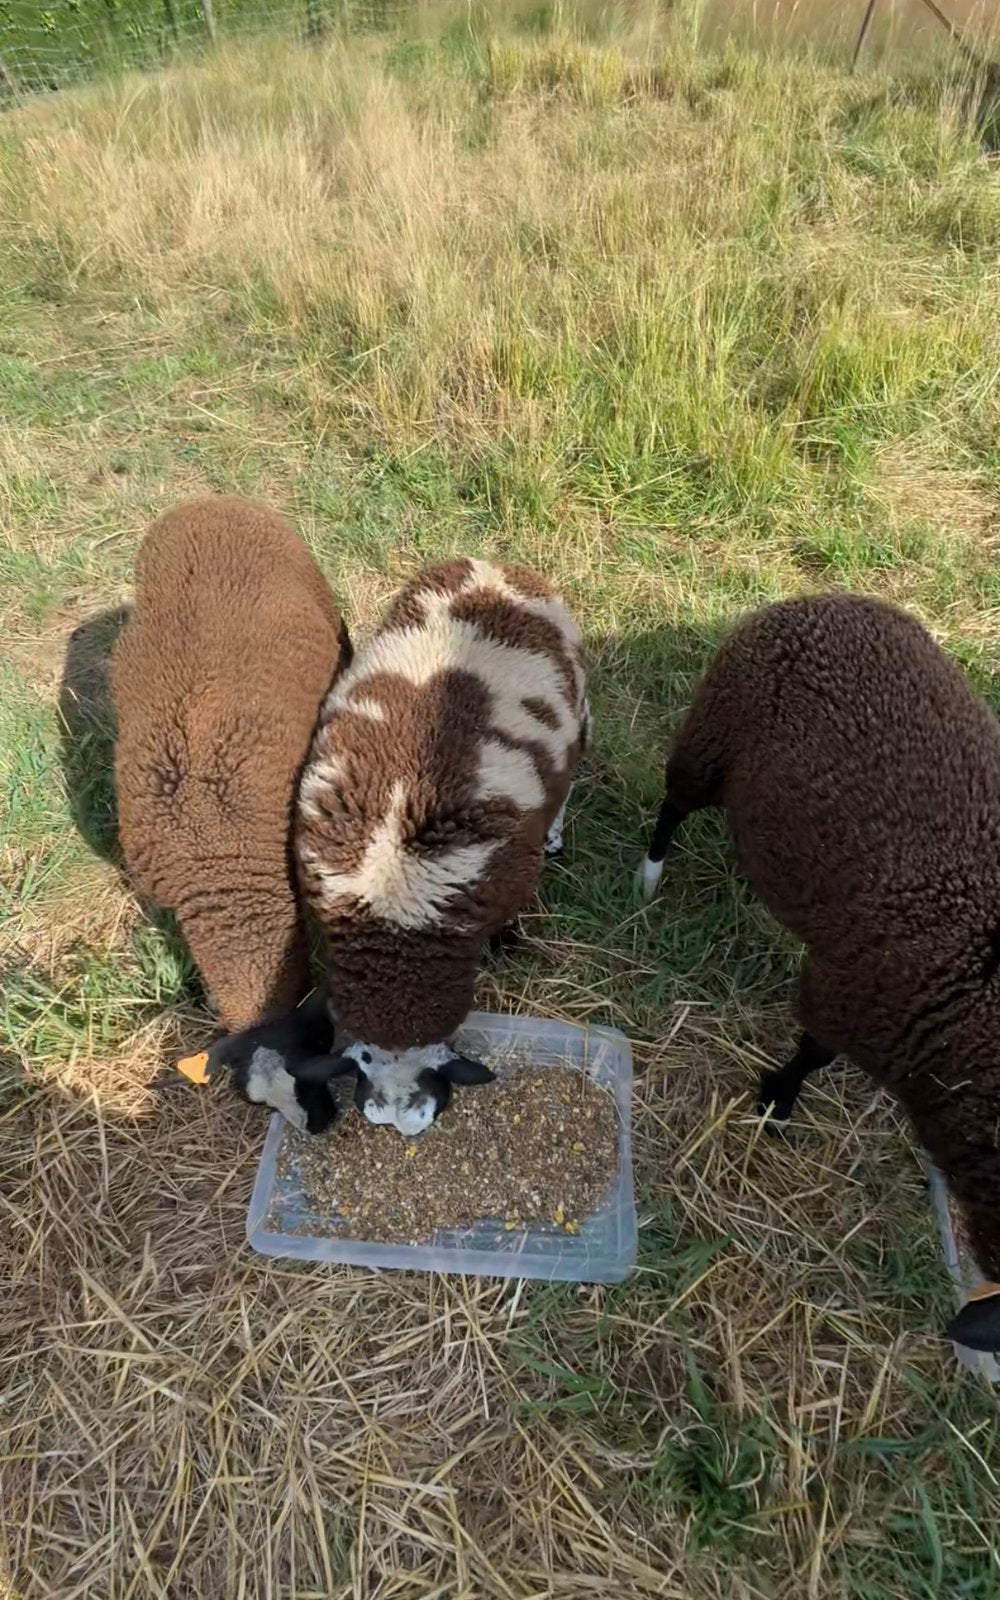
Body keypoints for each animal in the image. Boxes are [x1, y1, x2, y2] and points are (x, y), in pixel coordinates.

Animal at [638, 592, 1000, 1354]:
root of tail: (821, 601)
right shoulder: (853, 996)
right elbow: (813, 1052)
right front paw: (776, 1102)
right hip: (712, 735)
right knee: (674, 802)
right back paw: (649, 877)